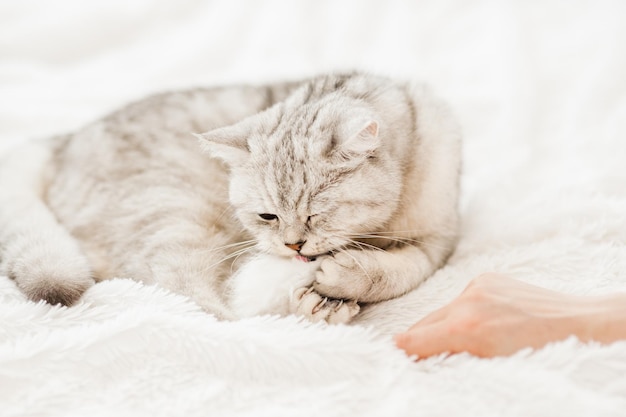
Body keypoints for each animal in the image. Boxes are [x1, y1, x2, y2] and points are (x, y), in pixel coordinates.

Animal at [0, 73, 458, 324]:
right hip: (176, 215)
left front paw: (349, 276)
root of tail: (62, 142)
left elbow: (401, 270)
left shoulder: (437, 242)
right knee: (202, 303)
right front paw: (331, 285)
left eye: (317, 215)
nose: (294, 246)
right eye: (268, 216)